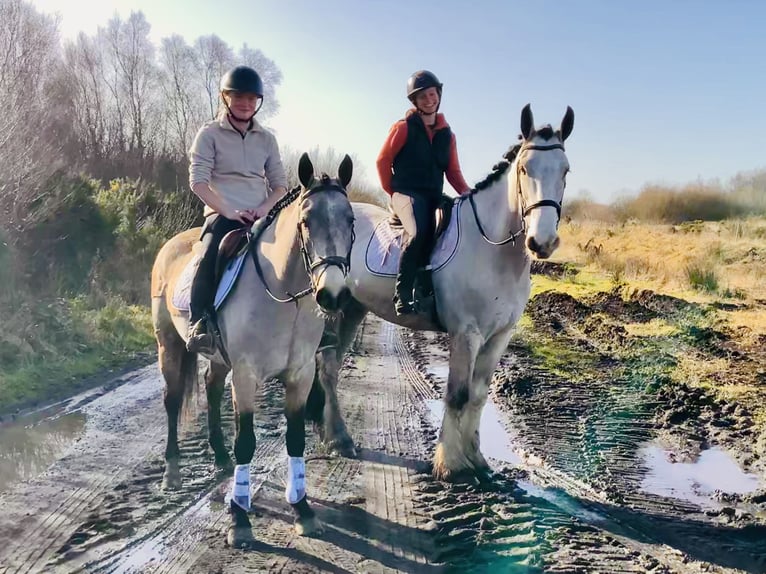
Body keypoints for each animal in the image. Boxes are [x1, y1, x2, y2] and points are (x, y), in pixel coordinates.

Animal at [150, 153, 356, 546]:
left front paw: (303, 510)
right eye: (306, 222)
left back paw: (219, 458)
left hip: (219, 359)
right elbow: (246, 441)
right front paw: (240, 519)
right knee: (171, 400)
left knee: (211, 387)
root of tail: (170, 245)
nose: (332, 295)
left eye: (351, 220)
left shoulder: (300, 375)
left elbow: (295, 439)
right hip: (168, 344)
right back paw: (172, 473)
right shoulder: (246, 376)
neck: (283, 298)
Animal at [309, 104, 574, 481]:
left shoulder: (499, 337)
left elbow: (478, 395)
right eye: (525, 169)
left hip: (354, 308)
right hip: (334, 306)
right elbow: (457, 394)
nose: (543, 242)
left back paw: (332, 433)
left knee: (332, 363)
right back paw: (338, 438)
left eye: (566, 171)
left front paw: (477, 460)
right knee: (327, 364)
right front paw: (450, 464)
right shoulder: (466, 334)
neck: (493, 250)